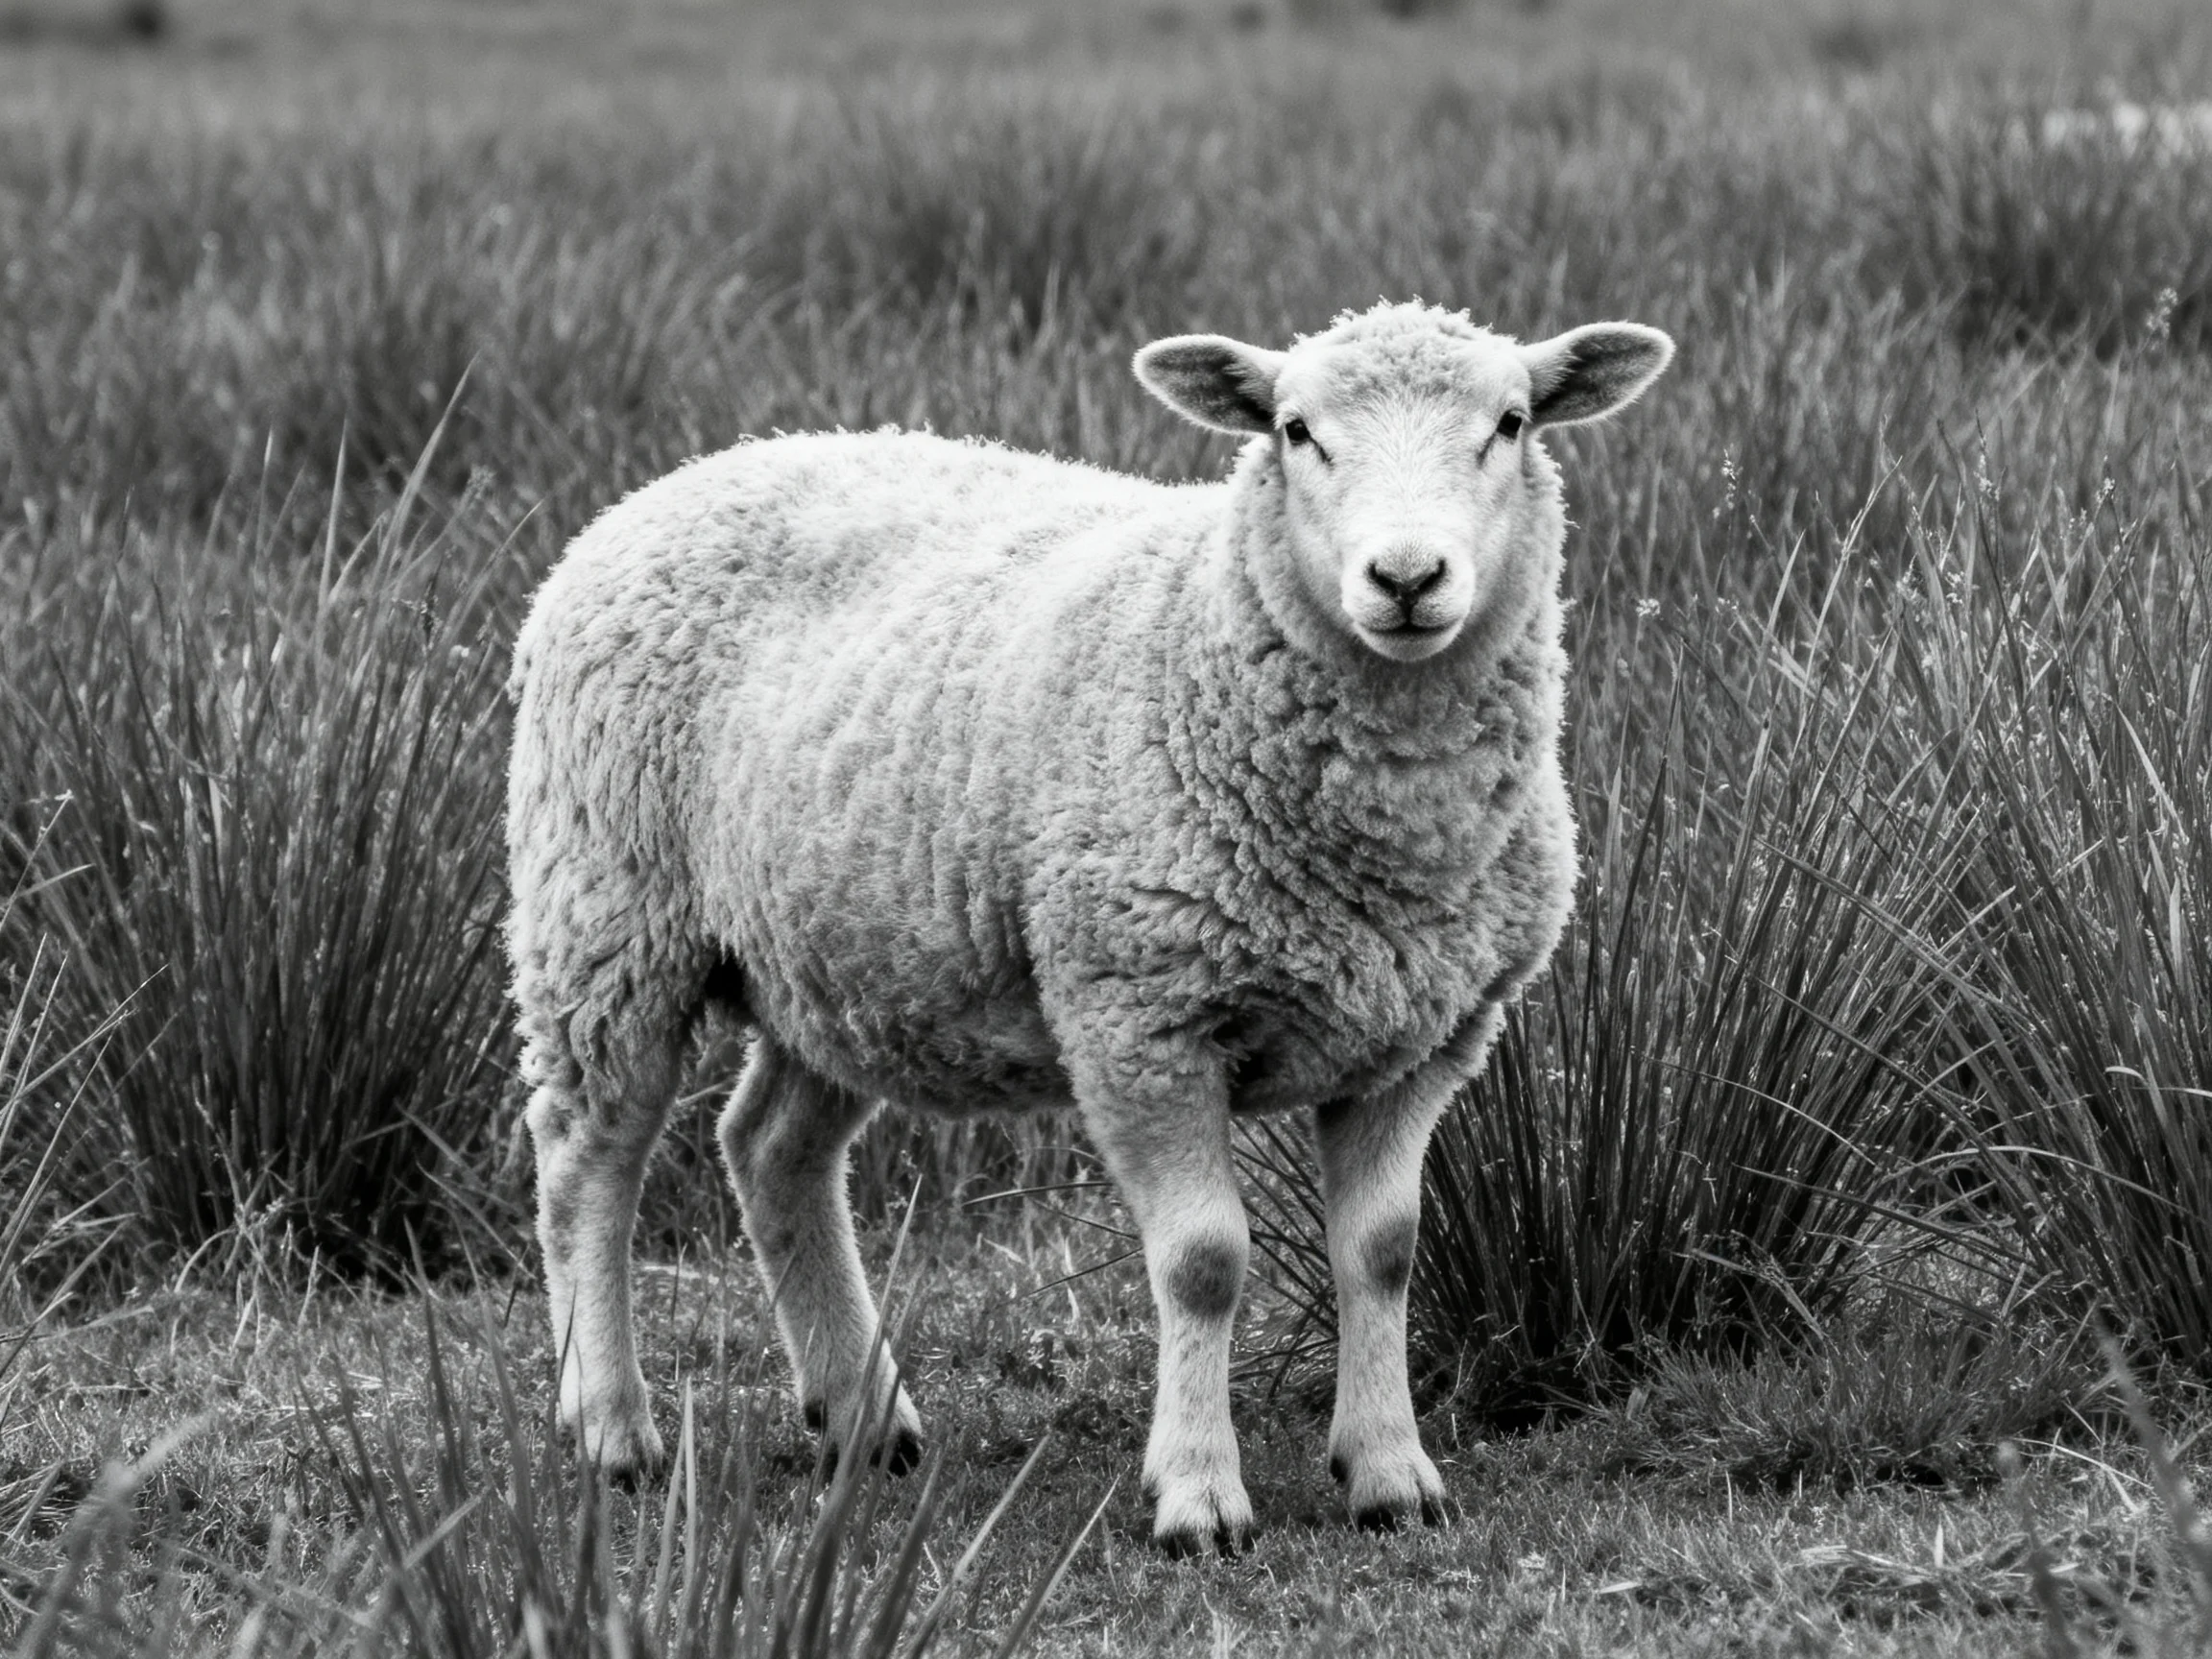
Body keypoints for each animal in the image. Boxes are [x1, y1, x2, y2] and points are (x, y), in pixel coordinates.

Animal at [504, 300, 1674, 1552]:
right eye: (1295, 431)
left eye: (1510, 424)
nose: (1407, 577)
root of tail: (689, 472)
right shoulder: (1139, 1018)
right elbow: (1205, 1262)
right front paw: (1199, 1497)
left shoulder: (1423, 1041)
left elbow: (1385, 1253)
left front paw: (1391, 1475)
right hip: (608, 915)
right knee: (586, 1160)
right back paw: (611, 1429)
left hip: (840, 960)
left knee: (771, 1149)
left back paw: (864, 1419)